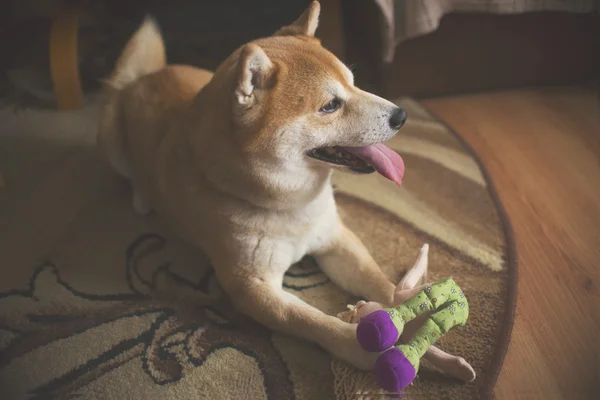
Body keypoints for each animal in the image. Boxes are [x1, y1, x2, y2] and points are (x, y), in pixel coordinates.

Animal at [97, 1, 474, 376]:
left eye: (354, 84)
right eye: (330, 105)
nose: (402, 116)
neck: (292, 201)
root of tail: (144, 77)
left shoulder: (336, 238)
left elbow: (380, 282)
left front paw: (418, 314)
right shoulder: (252, 289)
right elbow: (312, 321)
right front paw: (366, 349)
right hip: (111, 143)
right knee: (128, 174)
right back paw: (142, 198)